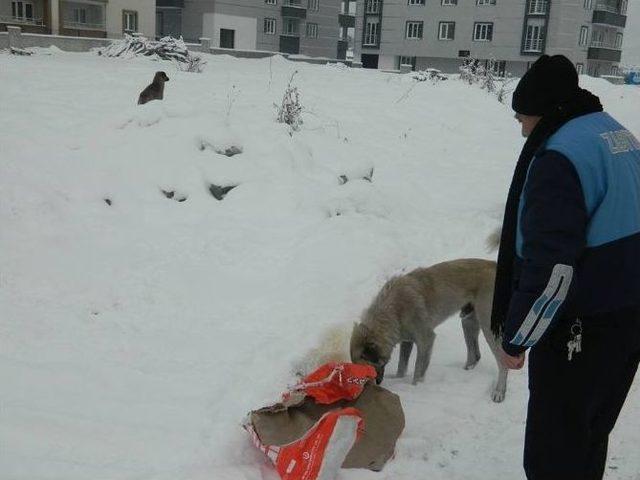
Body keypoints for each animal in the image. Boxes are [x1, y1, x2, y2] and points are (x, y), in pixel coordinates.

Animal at [350, 258, 510, 402]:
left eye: (366, 372)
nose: (377, 385)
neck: (392, 311)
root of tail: (495, 265)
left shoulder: (426, 340)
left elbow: (418, 370)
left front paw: (415, 388)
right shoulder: (407, 341)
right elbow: (402, 366)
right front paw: (398, 378)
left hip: (488, 327)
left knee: (502, 363)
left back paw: (499, 392)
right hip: (468, 321)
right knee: (474, 355)